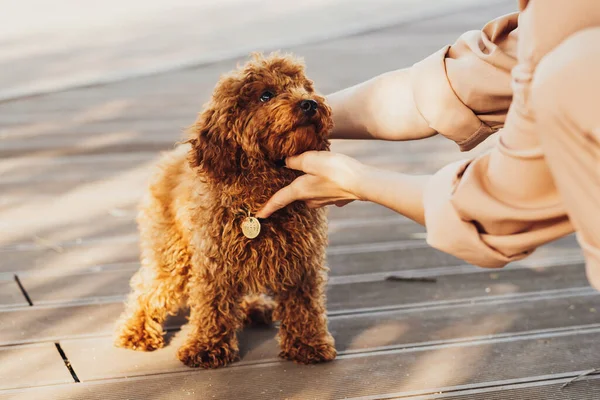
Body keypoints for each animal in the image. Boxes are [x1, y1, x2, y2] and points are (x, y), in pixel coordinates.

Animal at [115, 52, 336, 368]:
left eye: (303, 87)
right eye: (265, 95)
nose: (309, 103)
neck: (265, 186)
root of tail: (168, 160)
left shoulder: (301, 260)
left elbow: (304, 304)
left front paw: (308, 343)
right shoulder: (213, 260)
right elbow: (212, 304)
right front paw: (206, 347)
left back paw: (254, 307)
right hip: (173, 255)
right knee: (148, 290)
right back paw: (136, 331)